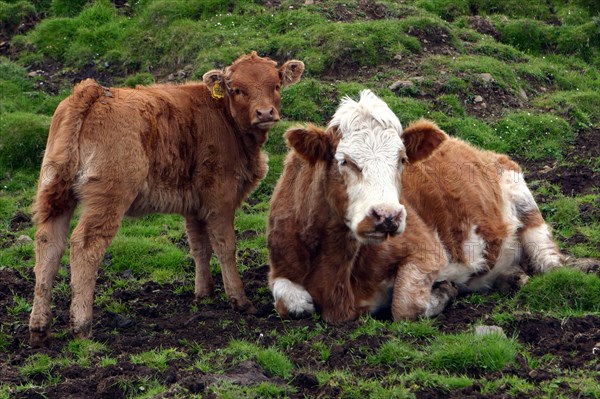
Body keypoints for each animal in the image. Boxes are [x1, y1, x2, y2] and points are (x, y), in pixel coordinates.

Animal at [27, 51, 304, 346]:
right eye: (238, 89)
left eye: (276, 85)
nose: (265, 113)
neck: (223, 118)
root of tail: (94, 92)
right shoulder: (220, 198)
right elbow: (225, 246)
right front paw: (239, 300)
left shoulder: (194, 204)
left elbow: (199, 246)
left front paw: (204, 294)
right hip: (107, 198)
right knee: (84, 246)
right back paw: (82, 326)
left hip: (56, 193)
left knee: (48, 244)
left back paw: (39, 327)